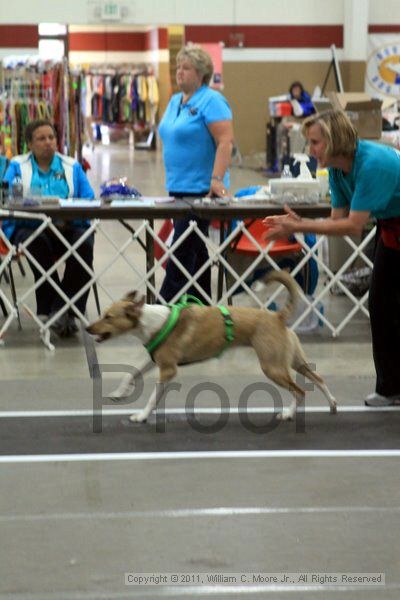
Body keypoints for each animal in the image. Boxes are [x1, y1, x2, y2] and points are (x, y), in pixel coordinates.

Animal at [86, 272, 336, 422]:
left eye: (108, 317)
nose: (88, 328)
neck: (152, 321)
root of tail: (277, 316)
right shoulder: (154, 359)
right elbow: (131, 374)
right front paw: (119, 393)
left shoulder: (168, 370)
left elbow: (152, 397)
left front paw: (141, 416)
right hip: (293, 361)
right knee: (318, 378)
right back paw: (332, 404)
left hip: (272, 366)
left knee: (300, 391)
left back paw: (288, 414)